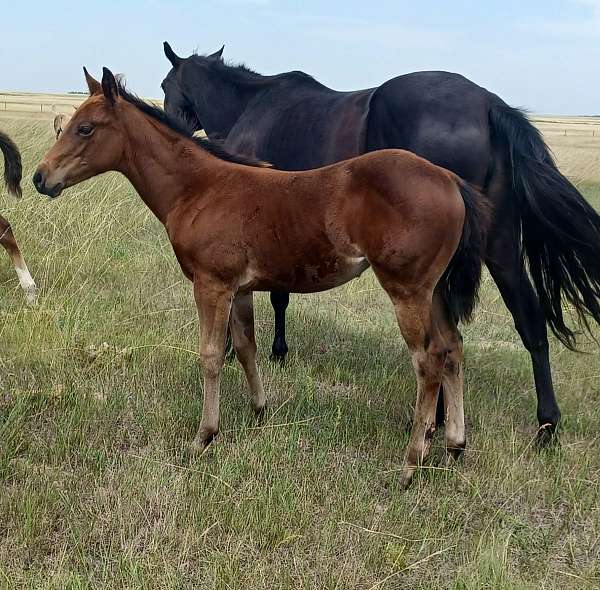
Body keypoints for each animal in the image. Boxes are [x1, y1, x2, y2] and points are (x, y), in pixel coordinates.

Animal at [32, 67, 490, 488]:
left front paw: (203, 437)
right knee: (452, 348)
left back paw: (410, 464)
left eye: (86, 128)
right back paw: (454, 445)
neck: (200, 189)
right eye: (67, 124)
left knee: (428, 362)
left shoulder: (211, 284)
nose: (40, 177)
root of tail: (449, 179)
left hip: (407, 289)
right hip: (435, 290)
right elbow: (246, 347)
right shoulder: (240, 289)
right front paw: (259, 412)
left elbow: (212, 356)